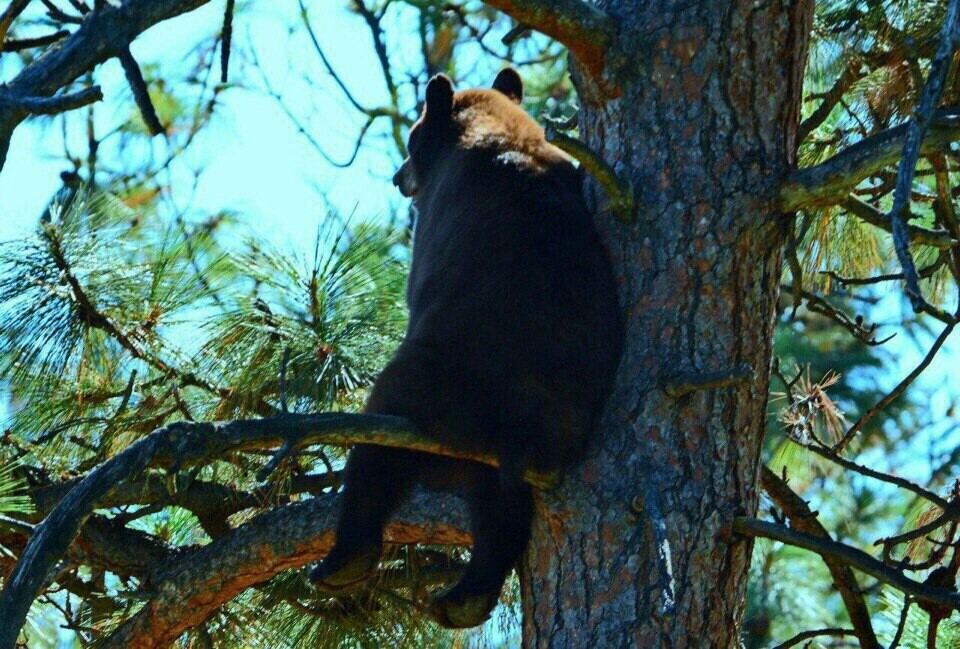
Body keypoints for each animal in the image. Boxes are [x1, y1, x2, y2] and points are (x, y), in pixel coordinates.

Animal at [308, 69, 624, 628]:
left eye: (411, 140)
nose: (398, 177)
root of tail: (527, 431)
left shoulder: (434, 220)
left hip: (439, 386)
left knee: (383, 440)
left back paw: (344, 559)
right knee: (499, 507)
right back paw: (465, 597)